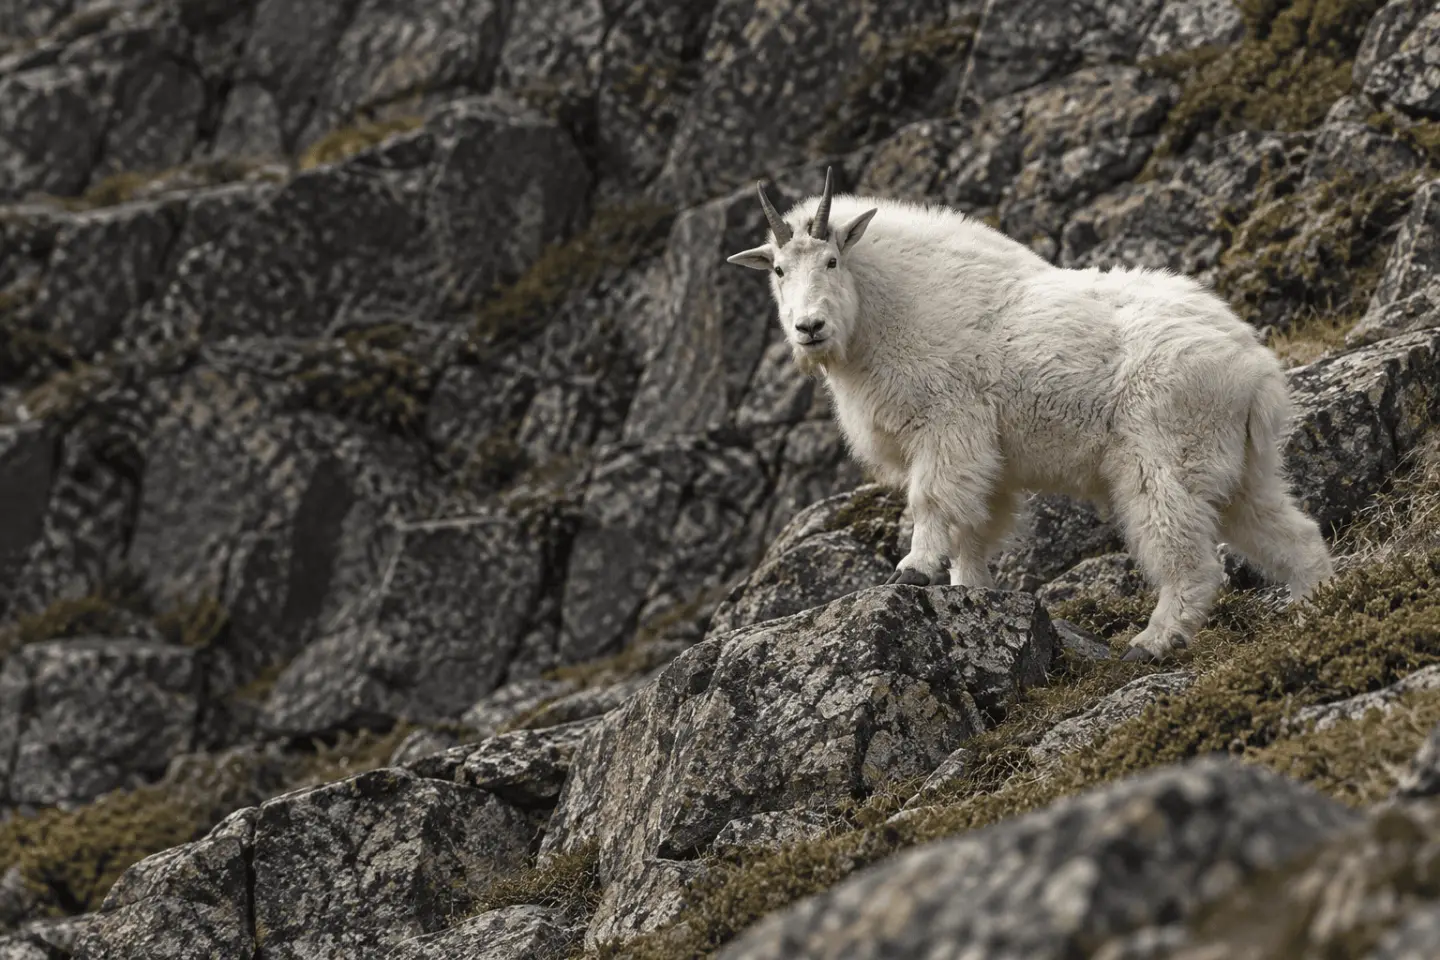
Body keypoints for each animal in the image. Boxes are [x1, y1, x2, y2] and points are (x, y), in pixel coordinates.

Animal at [726, 168, 1334, 661]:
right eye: (777, 270)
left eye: (832, 260)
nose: (808, 328)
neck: (888, 312)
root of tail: (1255, 370)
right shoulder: (988, 459)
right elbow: (975, 526)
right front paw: (968, 588)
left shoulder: (948, 425)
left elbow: (933, 500)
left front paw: (914, 569)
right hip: (1238, 467)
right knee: (1292, 532)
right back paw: (1314, 608)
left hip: (1166, 458)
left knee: (1191, 556)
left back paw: (1153, 641)